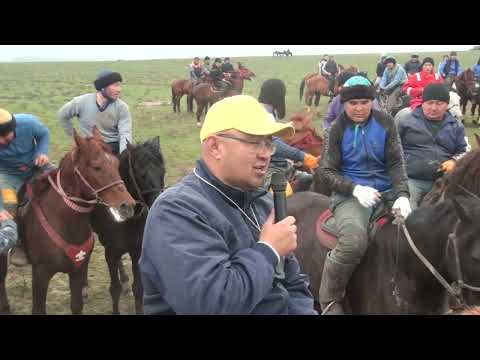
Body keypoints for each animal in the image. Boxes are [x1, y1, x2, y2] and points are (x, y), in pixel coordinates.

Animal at [0, 127, 136, 316]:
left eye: (117, 164)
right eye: (96, 166)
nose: (128, 206)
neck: (64, 221)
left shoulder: (77, 271)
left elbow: (77, 306)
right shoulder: (40, 274)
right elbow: (38, 309)